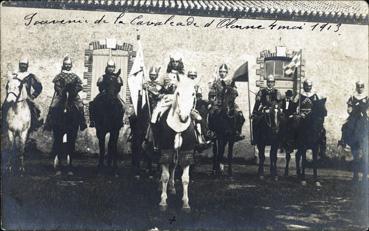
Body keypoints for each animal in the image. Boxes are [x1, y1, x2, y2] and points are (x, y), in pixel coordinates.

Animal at [158, 74, 198, 213]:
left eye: (193, 93)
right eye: (178, 93)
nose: (184, 117)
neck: (178, 126)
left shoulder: (186, 153)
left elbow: (185, 179)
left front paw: (186, 203)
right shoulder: (165, 151)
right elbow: (165, 175)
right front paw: (163, 201)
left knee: (174, 167)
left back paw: (172, 187)